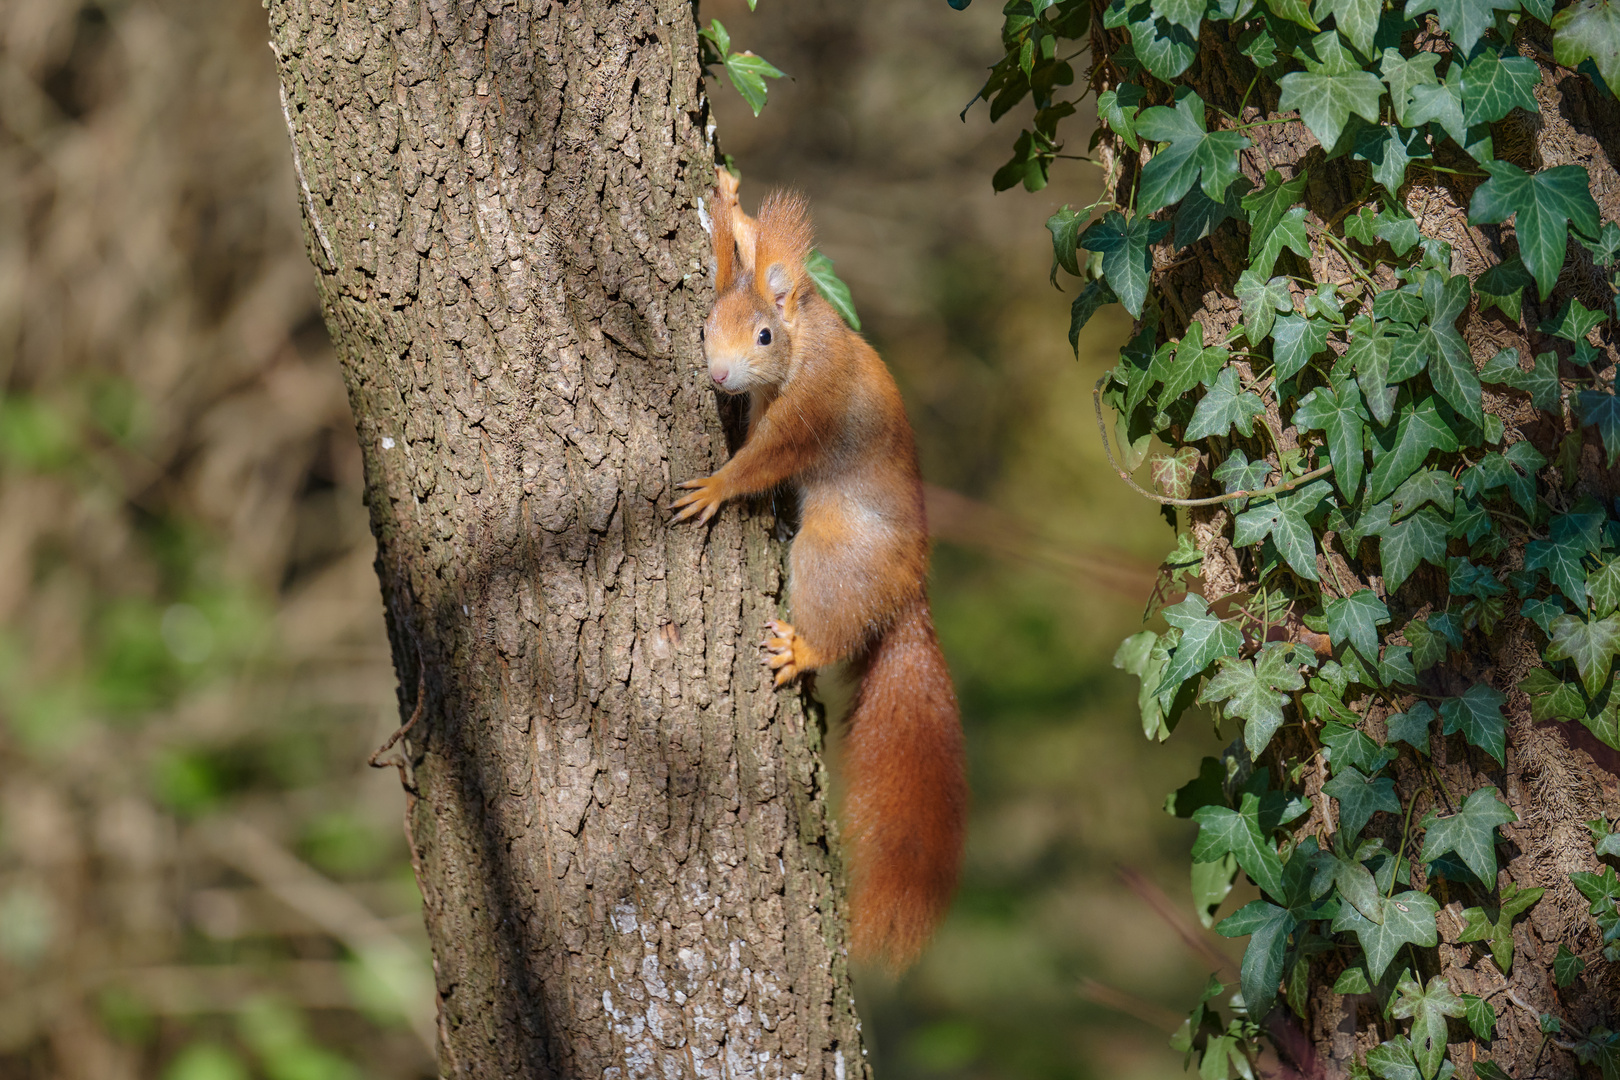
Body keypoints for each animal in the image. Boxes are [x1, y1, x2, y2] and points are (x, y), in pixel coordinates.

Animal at [673, 170, 965, 971]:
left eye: (764, 336)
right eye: (706, 324)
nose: (720, 374)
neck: (809, 337)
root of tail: (908, 594)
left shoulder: (813, 410)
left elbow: (764, 460)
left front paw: (716, 488)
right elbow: (742, 251)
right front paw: (731, 203)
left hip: (831, 557)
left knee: (835, 627)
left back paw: (801, 648)